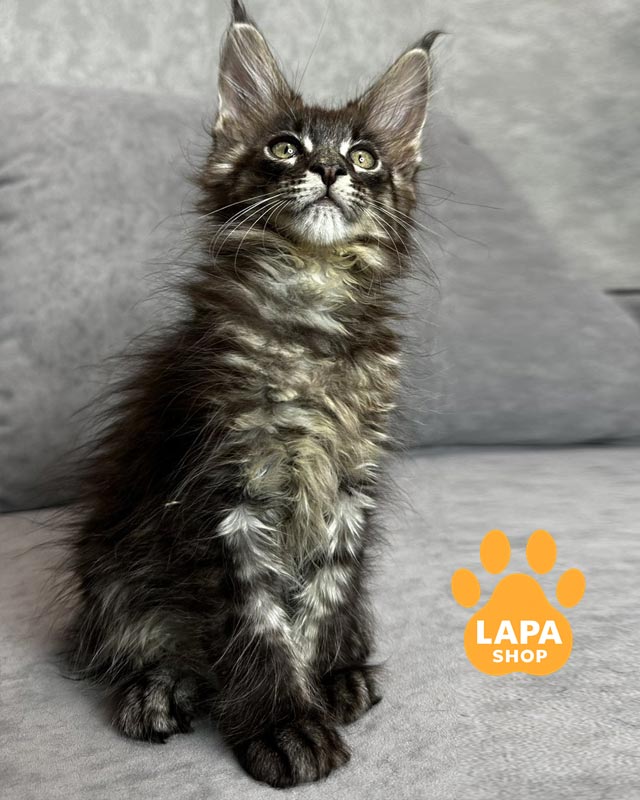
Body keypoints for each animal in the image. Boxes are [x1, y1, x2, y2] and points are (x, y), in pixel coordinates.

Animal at [64, 0, 439, 788]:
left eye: (365, 158)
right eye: (285, 148)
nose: (328, 169)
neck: (311, 319)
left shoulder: (349, 487)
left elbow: (321, 600)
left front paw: (321, 680)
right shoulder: (222, 489)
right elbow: (258, 623)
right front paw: (284, 724)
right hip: (111, 564)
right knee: (136, 638)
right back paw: (158, 689)